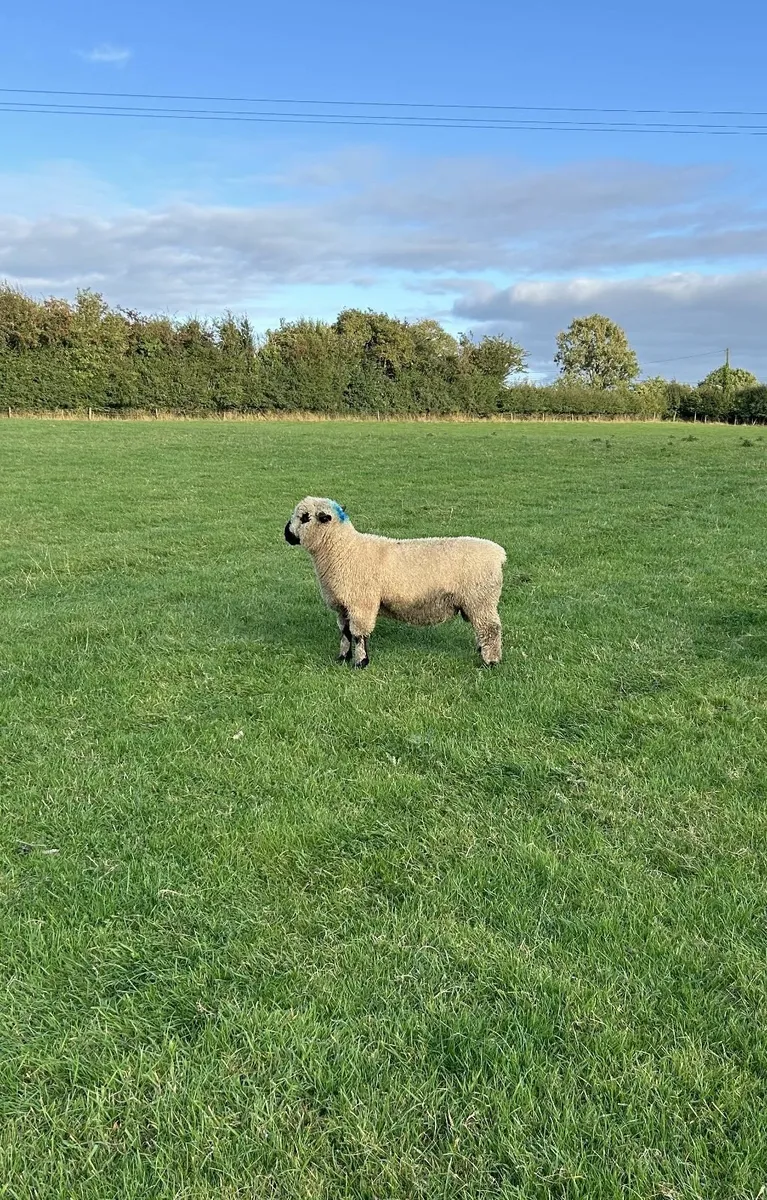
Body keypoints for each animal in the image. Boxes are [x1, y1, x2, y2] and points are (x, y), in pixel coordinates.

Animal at [284, 497, 506, 668]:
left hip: (480, 600)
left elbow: (359, 635)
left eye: (304, 517)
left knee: (491, 630)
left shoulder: (361, 603)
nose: (286, 533)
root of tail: (498, 553)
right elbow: (345, 633)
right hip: (476, 602)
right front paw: (342, 658)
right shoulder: (343, 606)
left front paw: (360, 663)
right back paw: (482, 651)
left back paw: (490, 662)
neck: (344, 550)